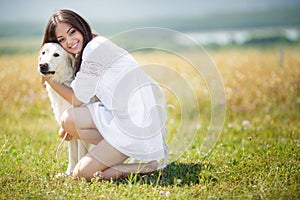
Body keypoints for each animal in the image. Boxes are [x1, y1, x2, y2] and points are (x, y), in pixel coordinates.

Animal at [39, 42, 92, 175]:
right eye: (43, 53)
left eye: (56, 54)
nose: (42, 65)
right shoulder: (68, 128)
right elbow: (72, 154)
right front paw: (69, 173)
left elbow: (80, 155)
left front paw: (77, 173)